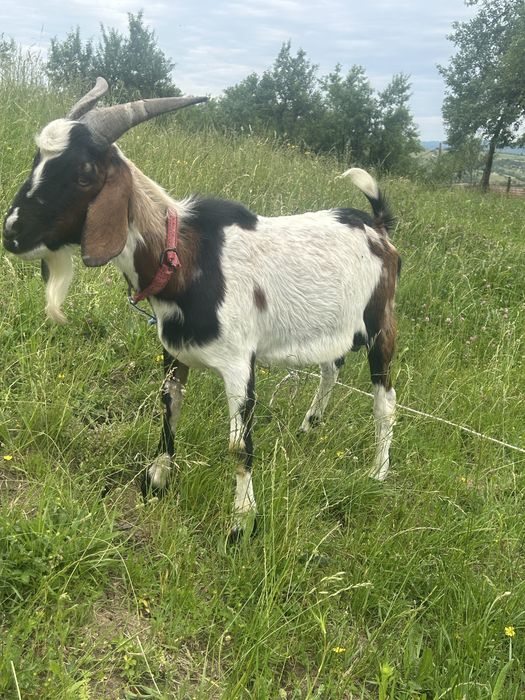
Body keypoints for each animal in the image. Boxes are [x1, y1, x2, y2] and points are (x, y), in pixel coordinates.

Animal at [3, 78, 400, 540]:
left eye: (84, 173)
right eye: (37, 159)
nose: (12, 232)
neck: (185, 259)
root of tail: (378, 227)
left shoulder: (240, 363)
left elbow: (239, 445)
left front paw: (242, 522)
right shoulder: (174, 352)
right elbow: (169, 409)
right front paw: (157, 478)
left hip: (380, 323)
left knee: (385, 400)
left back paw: (378, 473)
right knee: (331, 368)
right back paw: (308, 427)